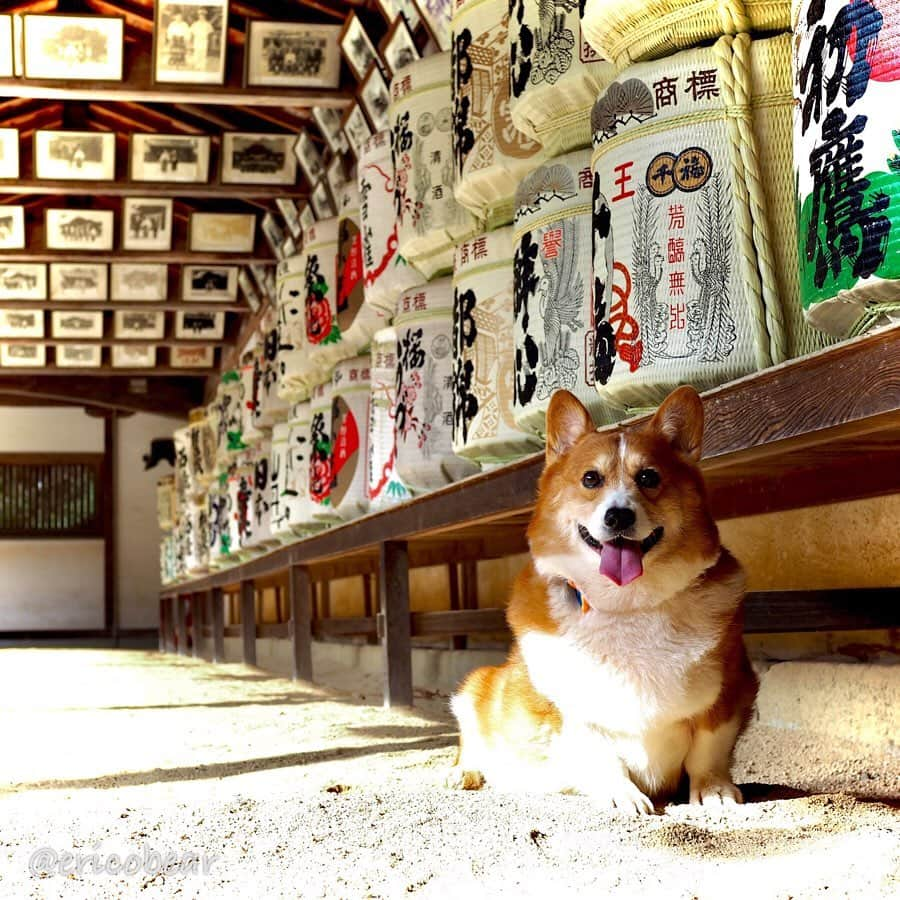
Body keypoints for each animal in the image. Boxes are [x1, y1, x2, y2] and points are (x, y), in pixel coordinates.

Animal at [448, 390, 752, 812]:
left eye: (649, 477)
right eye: (591, 479)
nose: (618, 516)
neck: (626, 604)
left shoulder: (729, 690)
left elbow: (709, 750)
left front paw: (714, 789)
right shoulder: (569, 712)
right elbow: (600, 753)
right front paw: (621, 794)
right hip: (476, 689)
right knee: (472, 740)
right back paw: (465, 772)